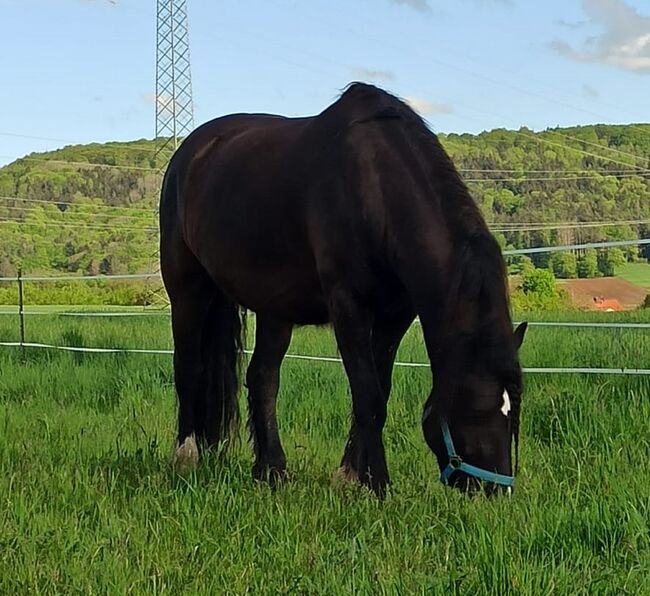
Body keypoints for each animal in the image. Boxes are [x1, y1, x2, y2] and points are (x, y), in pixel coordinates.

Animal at [159, 82, 524, 494]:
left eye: (514, 411)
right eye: (477, 408)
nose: (497, 490)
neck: (375, 188)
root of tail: (191, 151)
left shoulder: (395, 315)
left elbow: (379, 389)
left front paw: (351, 473)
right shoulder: (348, 306)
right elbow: (368, 396)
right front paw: (378, 483)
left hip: (274, 308)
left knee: (262, 378)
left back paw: (271, 469)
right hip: (187, 289)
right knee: (189, 368)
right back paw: (186, 455)